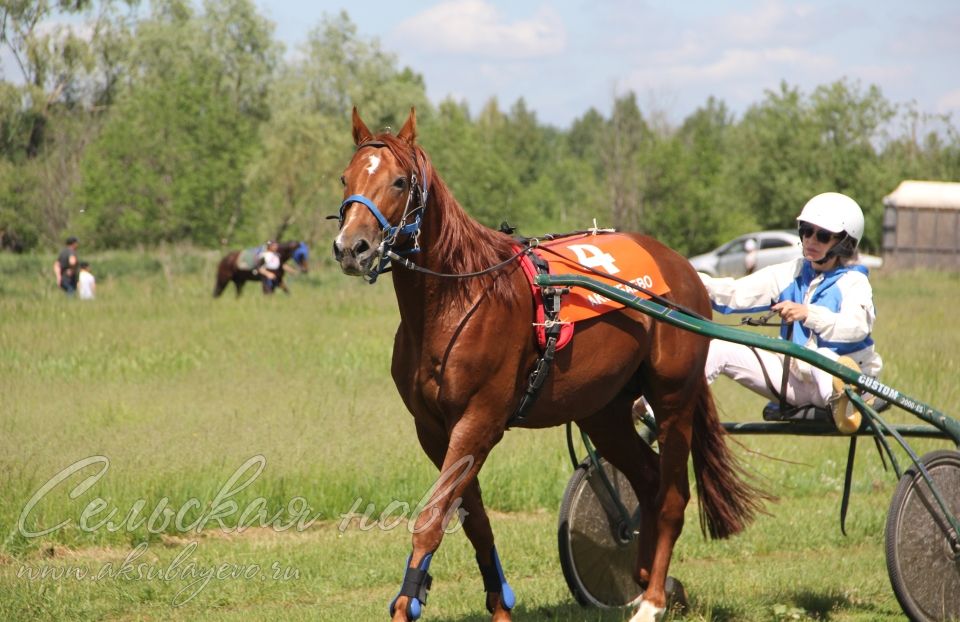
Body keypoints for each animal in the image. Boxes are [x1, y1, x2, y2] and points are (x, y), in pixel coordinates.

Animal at [330, 108, 764, 622]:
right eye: (346, 178)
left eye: (398, 181)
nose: (351, 247)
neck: (458, 300)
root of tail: (683, 268)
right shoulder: (434, 430)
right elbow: (474, 521)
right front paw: (498, 605)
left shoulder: (479, 421)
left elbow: (433, 518)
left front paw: (407, 602)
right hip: (603, 409)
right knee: (648, 480)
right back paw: (640, 578)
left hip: (673, 397)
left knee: (673, 494)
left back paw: (653, 598)